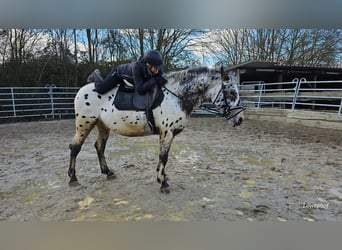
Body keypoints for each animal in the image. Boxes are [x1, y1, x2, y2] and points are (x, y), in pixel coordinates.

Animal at [67, 65, 243, 192]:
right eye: (231, 92)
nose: (240, 119)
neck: (175, 96)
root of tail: (82, 90)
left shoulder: (169, 134)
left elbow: (163, 157)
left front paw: (162, 176)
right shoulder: (166, 132)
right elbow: (164, 157)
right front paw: (163, 182)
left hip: (102, 126)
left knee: (99, 147)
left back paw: (108, 172)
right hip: (84, 124)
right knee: (75, 147)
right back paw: (73, 178)